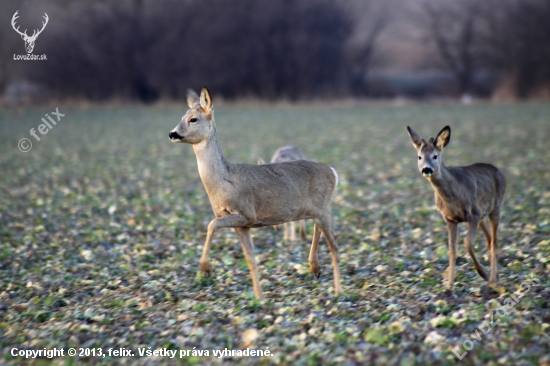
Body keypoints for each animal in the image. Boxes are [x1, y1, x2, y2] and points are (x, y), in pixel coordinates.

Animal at [169, 87, 340, 298]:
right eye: (182, 116)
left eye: (193, 119)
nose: (172, 133)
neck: (223, 180)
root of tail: (332, 171)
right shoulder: (242, 224)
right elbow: (251, 260)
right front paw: (260, 298)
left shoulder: (245, 213)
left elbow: (211, 224)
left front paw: (206, 268)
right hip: (317, 210)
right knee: (319, 231)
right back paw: (314, 268)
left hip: (322, 209)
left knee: (334, 248)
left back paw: (338, 291)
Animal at [408, 126, 506, 292]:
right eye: (419, 157)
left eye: (435, 156)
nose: (426, 169)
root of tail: (498, 169)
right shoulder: (450, 219)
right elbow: (452, 250)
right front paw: (449, 285)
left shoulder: (473, 214)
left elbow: (467, 243)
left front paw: (482, 273)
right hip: (483, 215)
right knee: (489, 239)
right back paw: (496, 277)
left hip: (496, 207)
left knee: (494, 242)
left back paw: (492, 281)